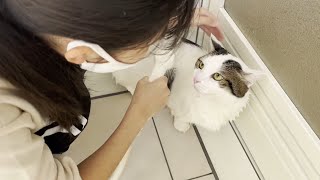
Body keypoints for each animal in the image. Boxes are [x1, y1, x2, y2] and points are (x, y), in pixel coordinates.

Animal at [112, 34, 262, 132]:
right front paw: (181, 125)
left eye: (218, 76)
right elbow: (180, 115)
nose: (195, 79)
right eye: (201, 65)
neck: (211, 101)